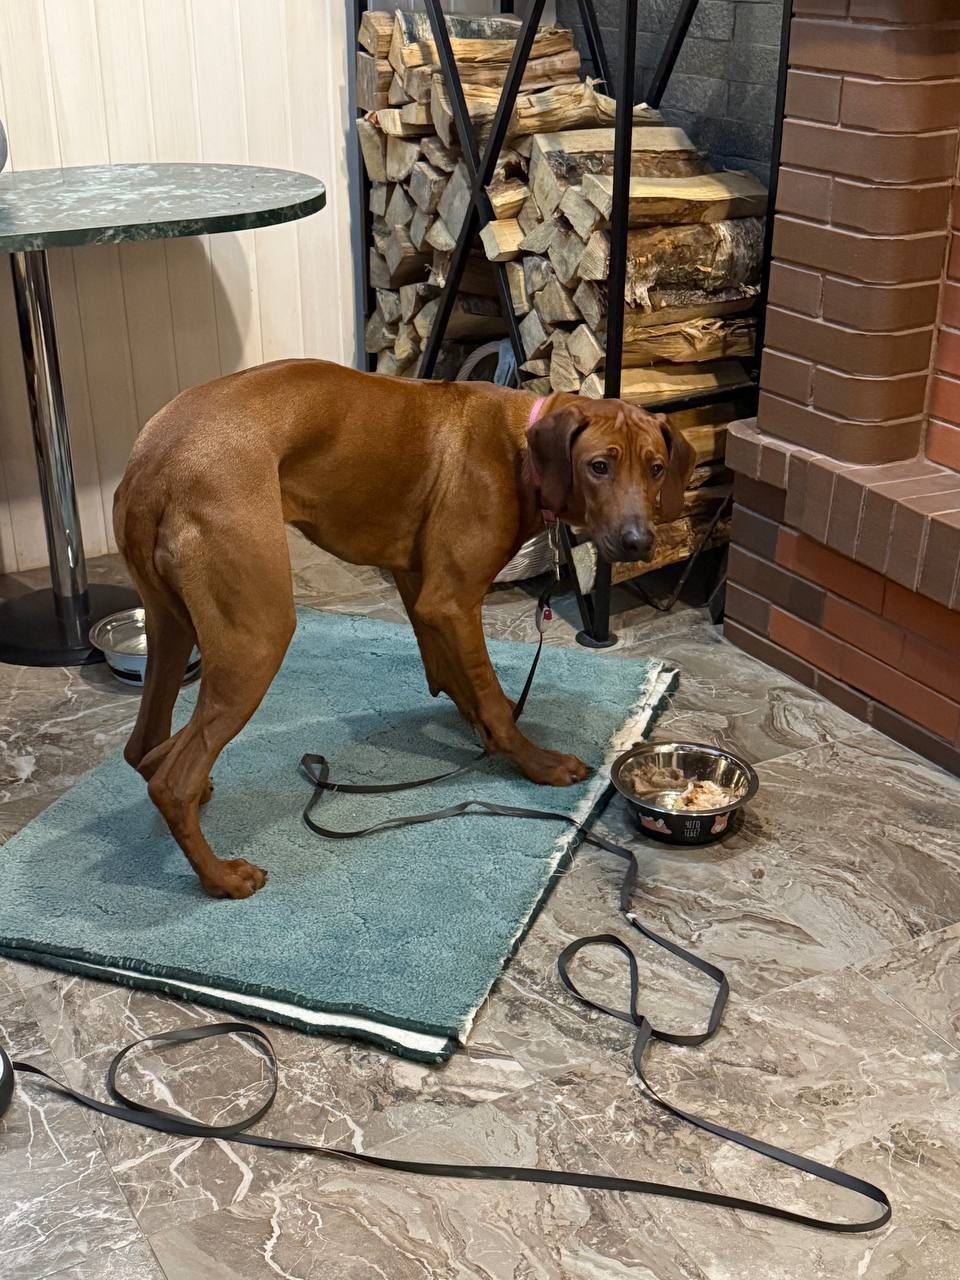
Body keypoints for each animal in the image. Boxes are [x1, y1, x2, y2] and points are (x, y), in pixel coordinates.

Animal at [114, 361, 695, 898]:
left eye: (657, 468)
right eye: (598, 466)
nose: (639, 542)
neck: (519, 448)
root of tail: (151, 459)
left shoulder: (421, 587)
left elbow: (451, 673)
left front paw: (482, 729)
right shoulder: (453, 599)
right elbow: (486, 690)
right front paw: (533, 760)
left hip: (171, 625)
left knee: (143, 748)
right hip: (256, 635)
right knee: (171, 780)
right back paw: (220, 878)